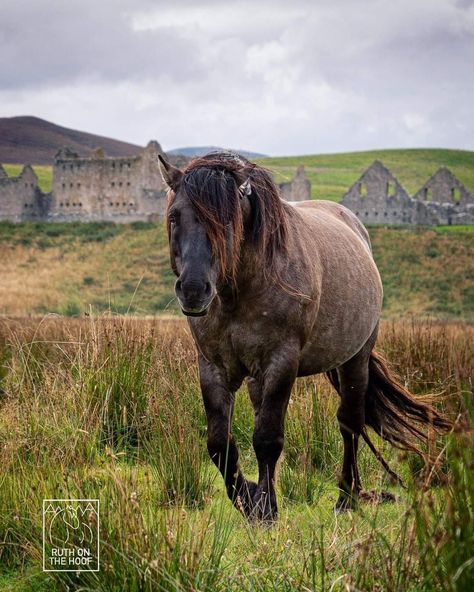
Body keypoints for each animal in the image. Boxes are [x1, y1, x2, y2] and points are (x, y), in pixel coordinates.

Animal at [157, 153, 450, 524]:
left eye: (229, 221)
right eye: (174, 216)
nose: (194, 290)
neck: (241, 290)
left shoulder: (282, 363)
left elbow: (267, 438)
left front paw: (265, 509)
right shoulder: (213, 366)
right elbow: (219, 444)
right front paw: (250, 498)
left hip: (354, 361)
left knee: (349, 424)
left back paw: (346, 497)